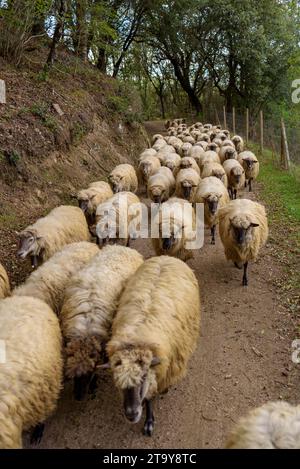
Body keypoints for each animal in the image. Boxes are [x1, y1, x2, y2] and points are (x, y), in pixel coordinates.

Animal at [104, 252, 200, 436]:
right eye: (118, 382)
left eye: (142, 378)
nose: (131, 414)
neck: (137, 338)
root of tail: (166, 256)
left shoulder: (160, 370)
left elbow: (151, 396)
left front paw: (149, 420)